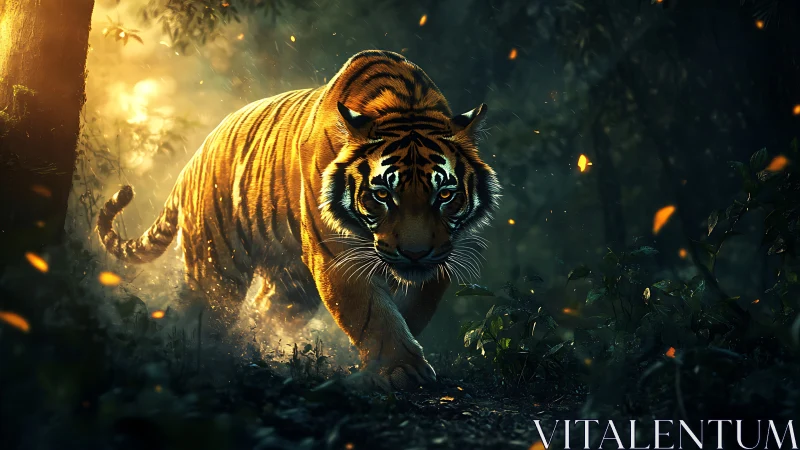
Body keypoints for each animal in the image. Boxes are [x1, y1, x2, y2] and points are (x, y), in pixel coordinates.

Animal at [97, 50, 500, 390]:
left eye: (444, 195)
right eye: (383, 194)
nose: (415, 254)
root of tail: (192, 161)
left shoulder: (442, 252)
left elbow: (414, 305)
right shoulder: (338, 255)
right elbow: (372, 313)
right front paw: (401, 369)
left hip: (291, 282)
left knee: (265, 311)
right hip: (219, 265)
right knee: (201, 312)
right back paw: (200, 358)